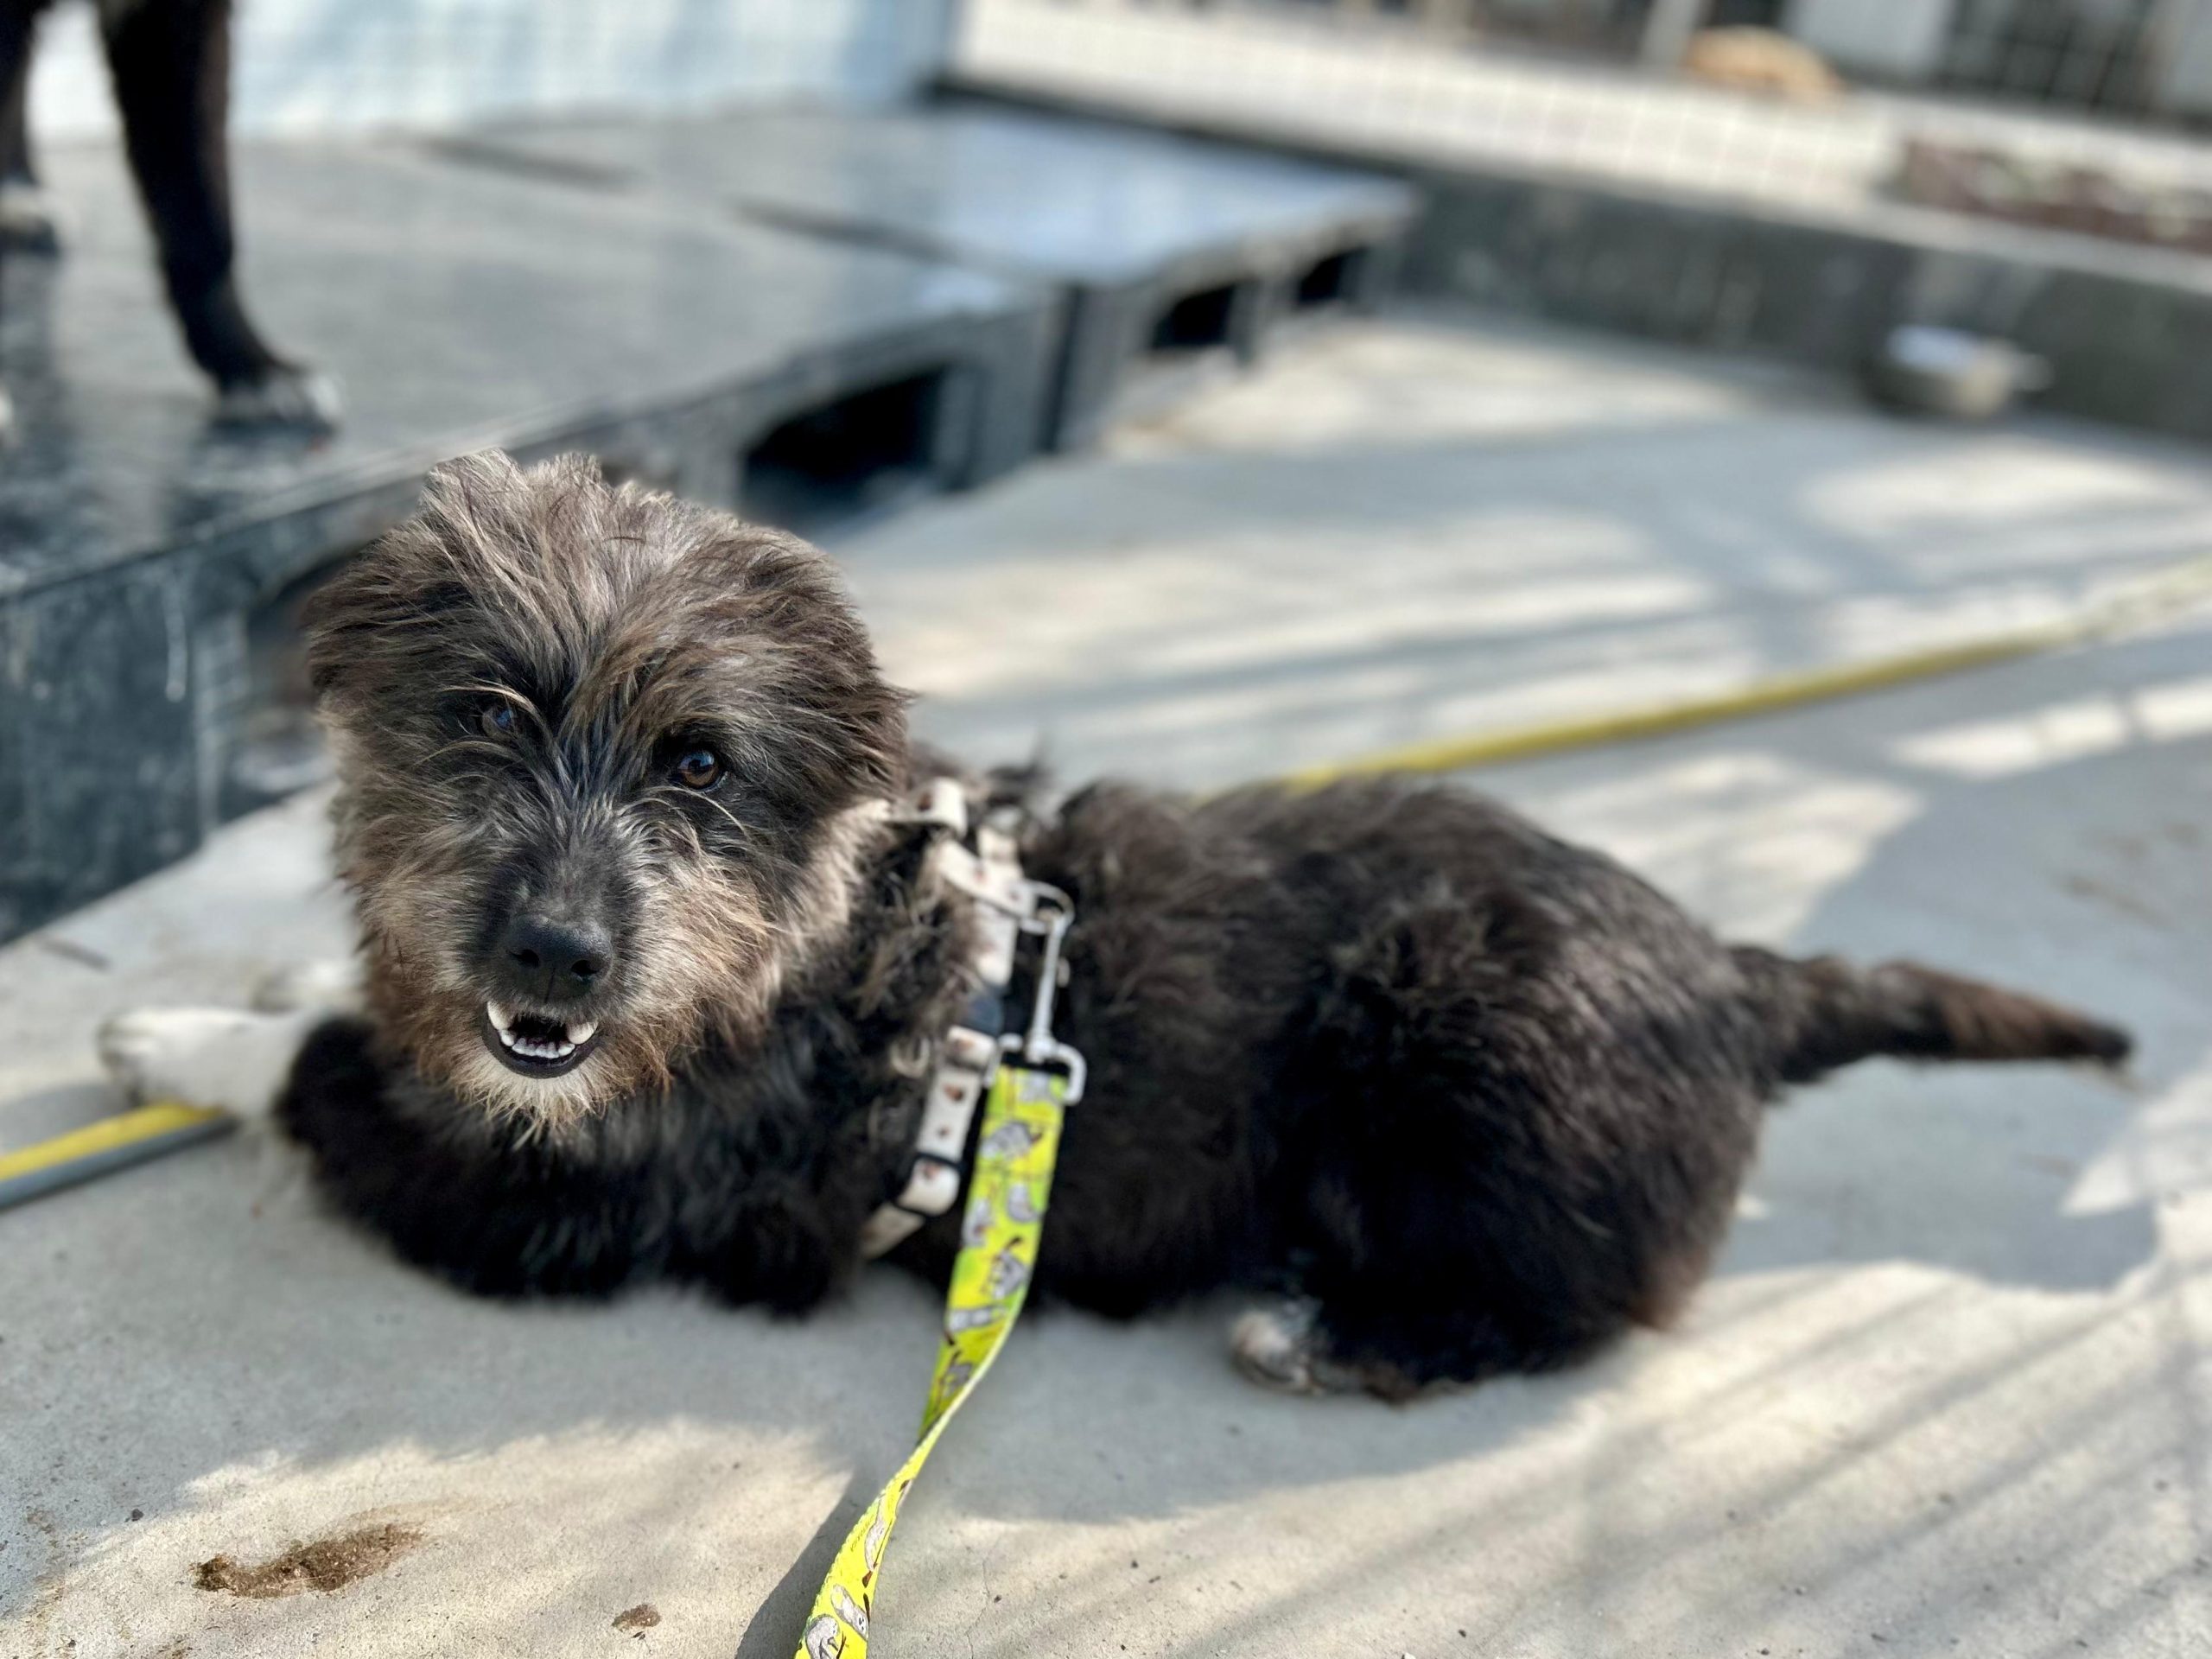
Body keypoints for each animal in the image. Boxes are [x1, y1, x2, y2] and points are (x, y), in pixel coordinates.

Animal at [99, 451, 2132, 1398]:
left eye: (701, 763)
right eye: (483, 719)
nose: (550, 964)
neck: (807, 936)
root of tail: (1738, 975)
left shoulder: (553, 1204)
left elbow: (317, 1076)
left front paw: (184, 1035)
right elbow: (365, 1009)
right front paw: (301, 971)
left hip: (1466, 1020)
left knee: (1555, 1314)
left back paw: (1330, 1334)